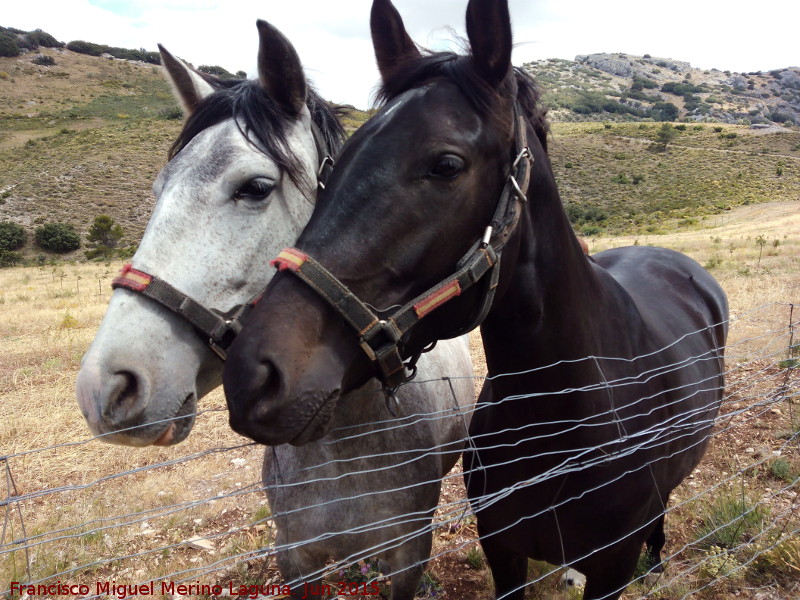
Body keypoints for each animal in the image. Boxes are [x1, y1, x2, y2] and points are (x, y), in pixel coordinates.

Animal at [222, 2, 728, 596]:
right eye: (334, 167)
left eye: (446, 165)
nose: (253, 374)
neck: (564, 416)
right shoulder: (501, 551)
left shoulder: (611, 567)